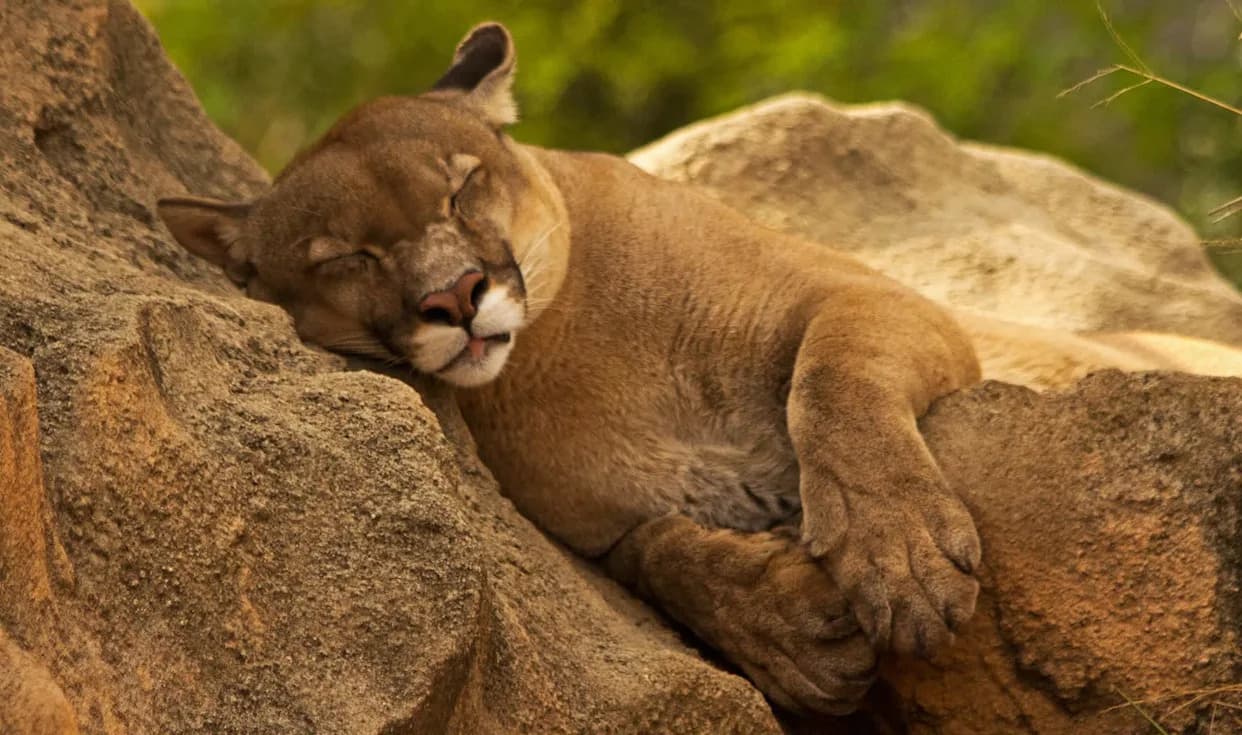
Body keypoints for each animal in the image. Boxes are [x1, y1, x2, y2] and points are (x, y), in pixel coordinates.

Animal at [157, 23, 985, 715]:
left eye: (460, 190)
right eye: (346, 257)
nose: (454, 295)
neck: (576, 344)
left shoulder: (872, 296)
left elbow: (830, 381)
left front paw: (900, 556)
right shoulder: (602, 529)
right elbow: (659, 550)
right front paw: (788, 627)